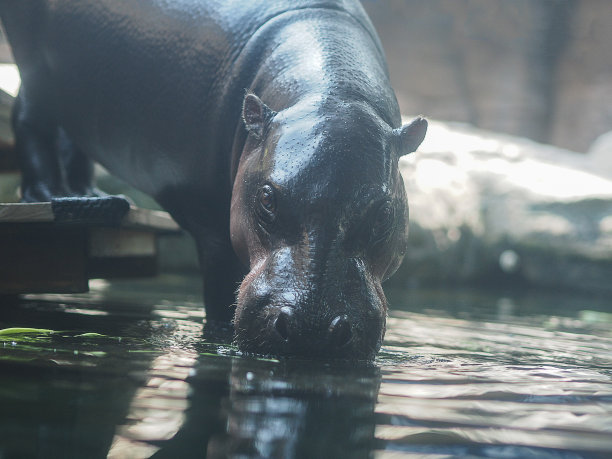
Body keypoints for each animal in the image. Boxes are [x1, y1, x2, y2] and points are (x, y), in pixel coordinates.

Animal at [0, 0, 428, 362]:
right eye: (267, 199)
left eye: (384, 214)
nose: (312, 329)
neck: (330, 93)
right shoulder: (213, 227)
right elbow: (221, 295)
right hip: (37, 73)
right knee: (29, 120)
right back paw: (51, 195)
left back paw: (87, 195)